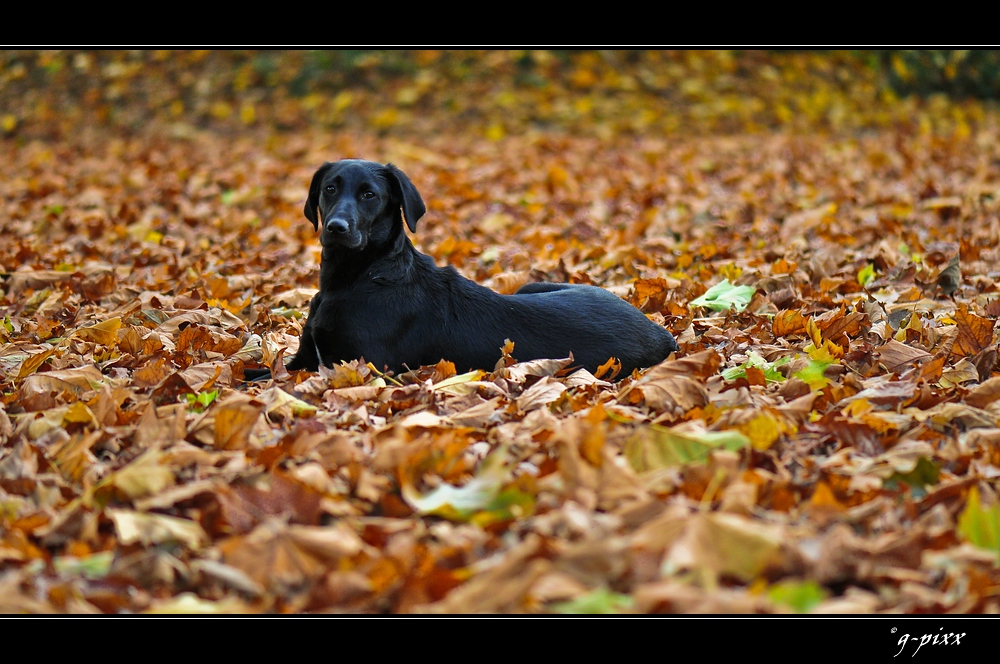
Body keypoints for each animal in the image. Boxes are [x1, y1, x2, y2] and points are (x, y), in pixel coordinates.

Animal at [278, 158, 676, 378]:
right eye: (330, 188)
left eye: (369, 194)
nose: (336, 228)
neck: (356, 278)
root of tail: (663, 333)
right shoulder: (300, 361)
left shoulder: (358, 366)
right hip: (530, 287)